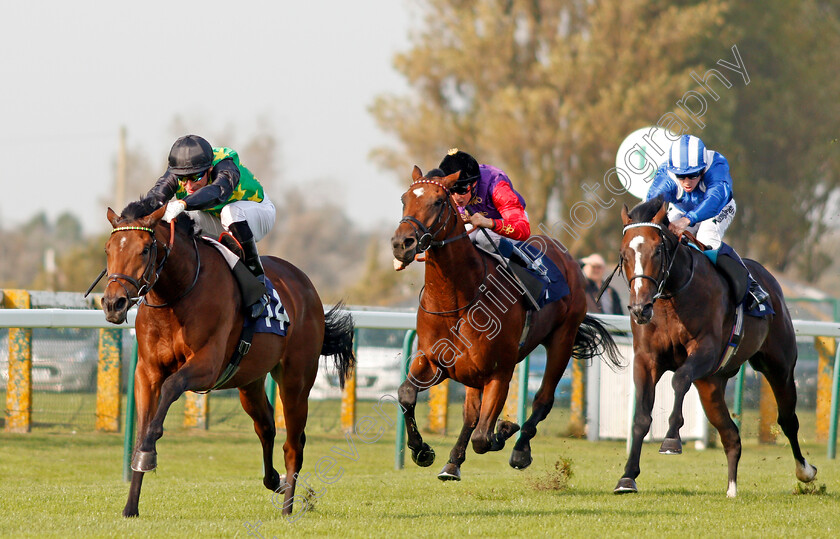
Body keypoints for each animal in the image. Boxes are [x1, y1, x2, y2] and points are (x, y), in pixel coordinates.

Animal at [101, 200, 354, 520]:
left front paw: (149, 452)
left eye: (145, 249)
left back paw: (288, 509)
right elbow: (143, 426)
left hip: (296, 380)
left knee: (293, 444)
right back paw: (276, 481)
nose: (113, 303)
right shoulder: (147, 372)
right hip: (250, 381)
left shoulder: (207, 366)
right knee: (266, 427)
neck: (176, 295)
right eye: (108, 249)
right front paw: (130, 506)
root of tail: (305, 284)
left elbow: (171, 388)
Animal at [390, 167, 620, 478]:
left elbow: (484, 437)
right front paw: (422, 451)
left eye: (438, 201)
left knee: (542, 400)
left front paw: (506, 428)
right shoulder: (436, 361)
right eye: (404, 199)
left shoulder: (499, 371)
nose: (402, 244)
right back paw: (452, 463)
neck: (456, 301)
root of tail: (567, 258)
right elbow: (406, 394)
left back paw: (520, 450)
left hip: (562, 339)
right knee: (471, 414)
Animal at [612, 197, 816, 498]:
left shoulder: (706, 351)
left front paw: (671, 439)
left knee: (788, 419)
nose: (640, 309)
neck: (671, 298)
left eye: (658, 251)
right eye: (624, 254)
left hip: (779, 367)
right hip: (711, 384)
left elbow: (680, 379)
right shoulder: (646, 359)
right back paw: (731, 488)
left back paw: (805, 471)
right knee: (731, 435)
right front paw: (627, 477)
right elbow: (641, 417)